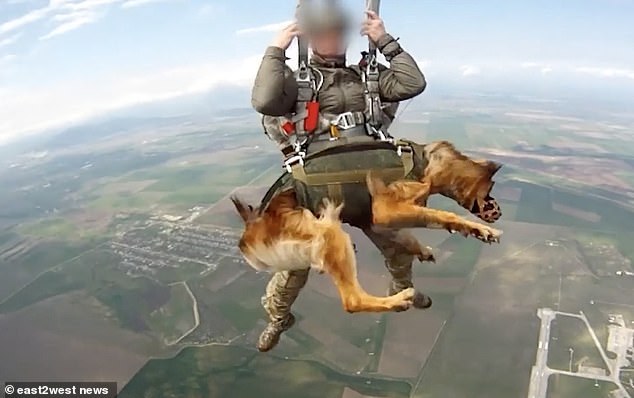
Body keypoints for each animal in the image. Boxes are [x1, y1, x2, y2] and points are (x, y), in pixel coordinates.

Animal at [230, 141, 502, 312]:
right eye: (491, 190)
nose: (498, 213)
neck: (425, 162)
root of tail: (251, 229)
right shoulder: (384, 210)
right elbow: (441, 214)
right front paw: (479, 230)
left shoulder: (375, 223)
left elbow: (407, 233)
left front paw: (421, 249)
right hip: (329, 230)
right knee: (352, 302)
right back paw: (398, 300)